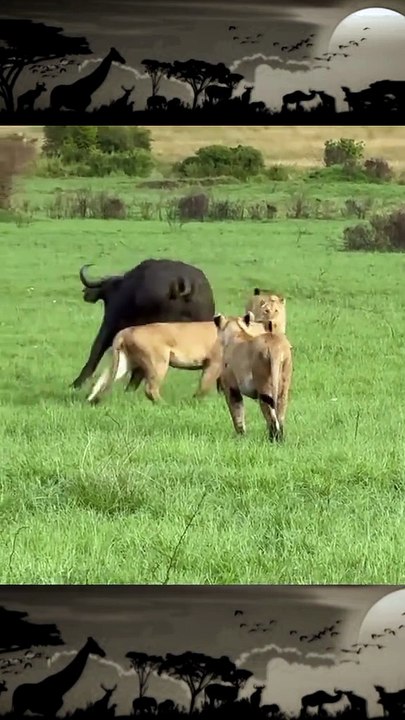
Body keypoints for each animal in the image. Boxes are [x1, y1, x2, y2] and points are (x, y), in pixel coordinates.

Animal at [213, 311, 292, 441]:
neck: (237, 331)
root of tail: (275, 347)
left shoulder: (231, 388)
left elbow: (237, 413)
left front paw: (241, 436)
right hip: (283, 386)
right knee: (280, 416)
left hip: (264, 387)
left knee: (271, 418)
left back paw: (272, 440)